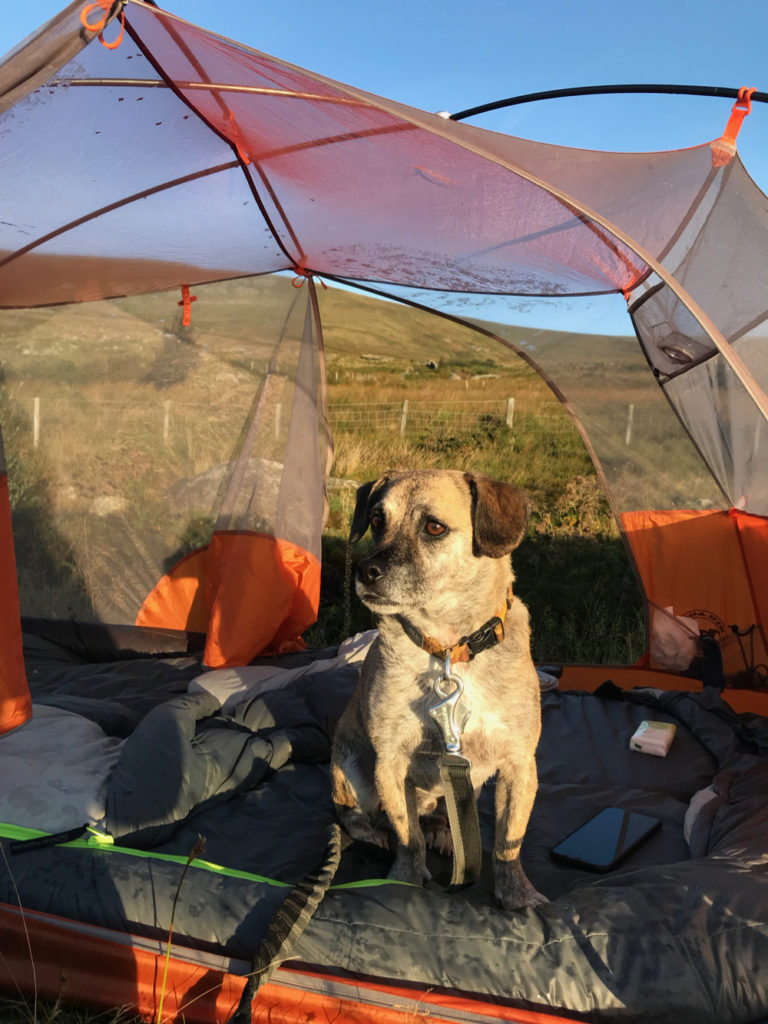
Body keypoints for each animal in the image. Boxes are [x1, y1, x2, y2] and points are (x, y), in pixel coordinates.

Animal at [331, 468, 548, 909]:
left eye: (434, 527)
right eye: (376, 521)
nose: (365, 571)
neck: (449, 648)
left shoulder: (519, 763)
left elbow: (508, 843)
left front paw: (518, 896)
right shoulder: (391, 762)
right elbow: (407, 836)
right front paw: (403, 882)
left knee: (438, 815)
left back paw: (442, 830)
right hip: (349, 766)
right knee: (355, 815)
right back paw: (375, 831)